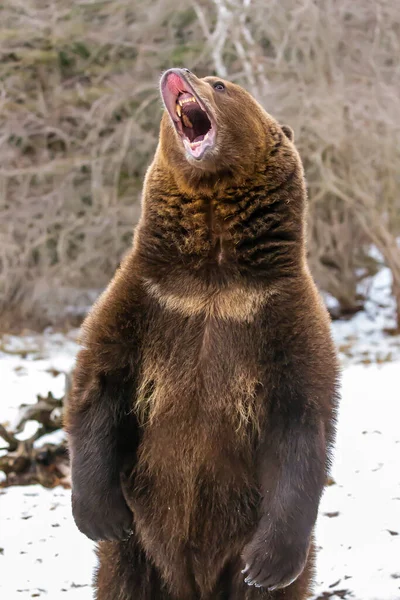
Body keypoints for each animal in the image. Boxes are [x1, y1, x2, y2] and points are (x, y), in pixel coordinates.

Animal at [64, 68, 340, 596]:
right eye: (209, 76)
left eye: (221, 84)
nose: (178, 72)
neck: (213, 274)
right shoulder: (150, 299)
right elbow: (101, 383)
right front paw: (99, 515)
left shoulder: (279, 317)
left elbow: (301, 421)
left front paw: (270, 562)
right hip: (142, 550)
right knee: (121, 578)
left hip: (236, 540)